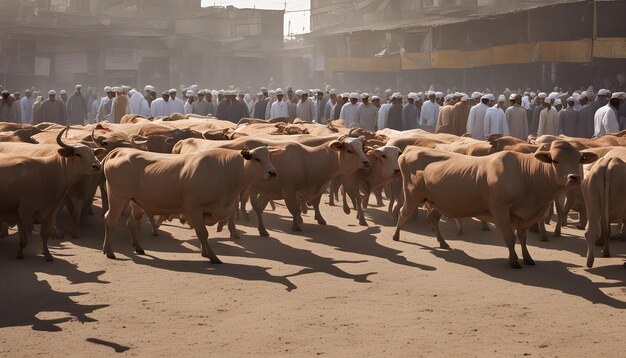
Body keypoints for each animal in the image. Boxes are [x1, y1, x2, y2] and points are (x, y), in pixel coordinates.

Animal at [100, 145, 276, 262]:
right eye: (257, 158)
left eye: (269, 157)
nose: (273, 172)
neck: (225, 170)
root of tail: (120, 151)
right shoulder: (193, 208)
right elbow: (203, 233)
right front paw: (212, 256)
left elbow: (204, 231)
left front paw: (205, 252)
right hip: (117, 198)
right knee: (110, 221)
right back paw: (109, 251)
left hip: (134, 202)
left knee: (131, 222)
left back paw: (138, 247)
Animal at [392, 141, 596, 268]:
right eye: (555, 160)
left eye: (579, 159)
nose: (574, 178)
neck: (528, 177)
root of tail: (409, 149)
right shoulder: (500, 210)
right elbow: (510, 238)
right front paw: (514, 261)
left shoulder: (524, 216)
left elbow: (522, 238)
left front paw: (527, 258)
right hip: (412, 196)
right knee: (403, 212)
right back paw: (396, 236)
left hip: (439, 202)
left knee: (432, 217)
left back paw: (442, 242)